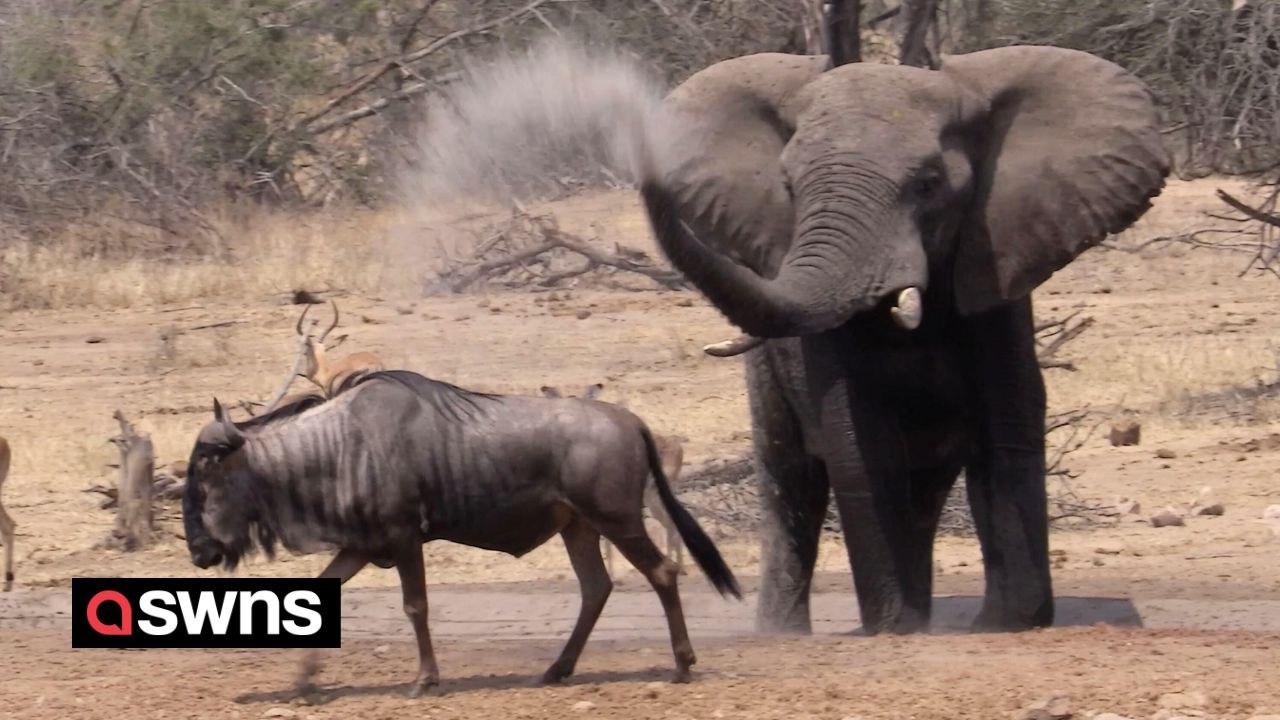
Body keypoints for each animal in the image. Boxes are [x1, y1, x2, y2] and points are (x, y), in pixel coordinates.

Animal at [633, 46, 1170, 636]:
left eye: (930, 183)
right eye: (788, 188)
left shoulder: (994, 273)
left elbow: (1005, 433)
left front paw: (1007, 625)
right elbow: (861, 446)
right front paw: (895, 629)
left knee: (922, 494)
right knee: (790, 484)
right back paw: (785, 634)